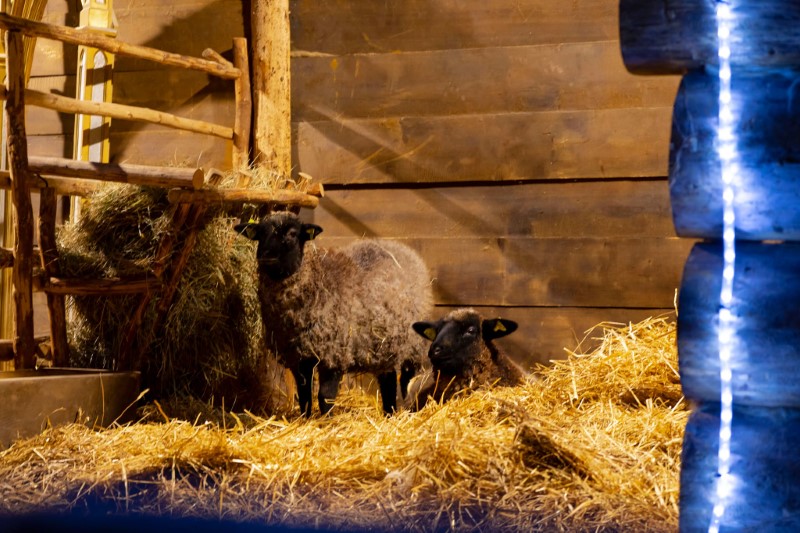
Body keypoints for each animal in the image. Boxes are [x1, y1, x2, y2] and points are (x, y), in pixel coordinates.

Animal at [235, 212, 432, 416]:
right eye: (259, 234)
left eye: (292, 234)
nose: (267, 258)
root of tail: (401, 248)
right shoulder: (300, 357)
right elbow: (304, 396)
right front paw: (306, 418)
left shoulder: (334, 353)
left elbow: (325, 396)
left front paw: (326, 419)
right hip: (382, 345)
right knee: (388, 379)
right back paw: (389, 412)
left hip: (408, 341)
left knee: (406, 372)